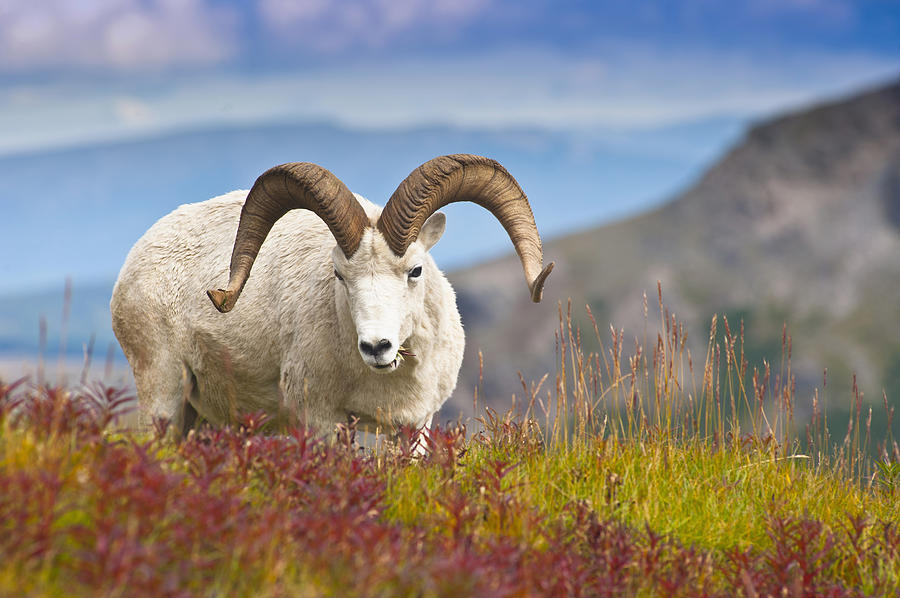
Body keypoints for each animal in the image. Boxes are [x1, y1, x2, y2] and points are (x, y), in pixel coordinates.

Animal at [110, 154, 552, 436]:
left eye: (415, 269)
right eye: (339, 273)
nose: (376, 347)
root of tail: (136, 258)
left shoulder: (415, 429)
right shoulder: (322, 421)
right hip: (163, 391)